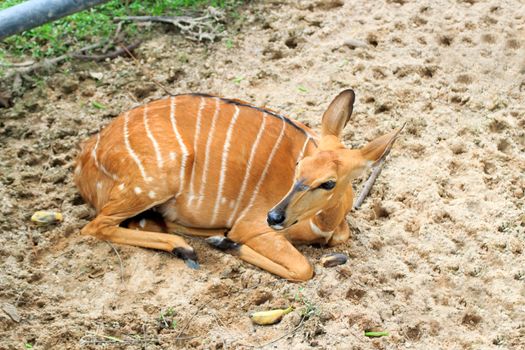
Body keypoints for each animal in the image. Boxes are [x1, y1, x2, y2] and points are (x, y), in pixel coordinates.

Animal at [74, 89, 402, 282]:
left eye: (329, 182)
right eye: (299, 165)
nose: (274, 216)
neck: (323, 223)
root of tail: (85, 156)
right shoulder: (252, 226)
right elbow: (303, 268)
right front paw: (226, 243)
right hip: (155, 180)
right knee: (96, 226)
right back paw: (187, 248)